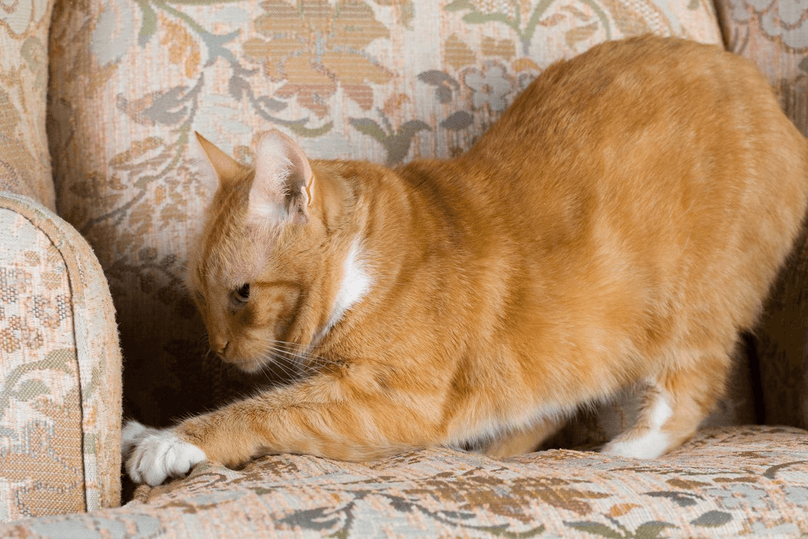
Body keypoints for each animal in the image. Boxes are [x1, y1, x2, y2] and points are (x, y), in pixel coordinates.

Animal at [121, 35, 808, 488]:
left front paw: (171, 439)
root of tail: (771, 101)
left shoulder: (393, 403)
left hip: (692, 310)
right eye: (199, 297)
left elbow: (265, 410)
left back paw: (627, 450)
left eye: (241, 294)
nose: (220, 349)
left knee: (688, 386)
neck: (365, 266)